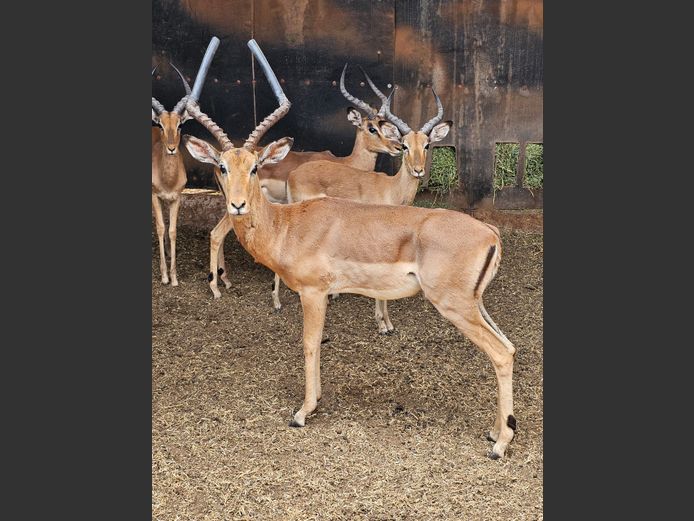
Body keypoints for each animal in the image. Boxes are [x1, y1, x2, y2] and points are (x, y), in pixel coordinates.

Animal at [207, 64, 402, 300]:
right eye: (372, 128)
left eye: (384, 125)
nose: (397, 147)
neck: (345, 162)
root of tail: (216, 160)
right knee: (217, 234)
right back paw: (216, 287)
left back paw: (225, 280)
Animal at [282, 84, 452, 333]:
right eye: (405, 145)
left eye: (427, 144)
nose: (418, 170)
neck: (392, 189)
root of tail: (292, 175)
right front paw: (384, 325)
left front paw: (385, 321)